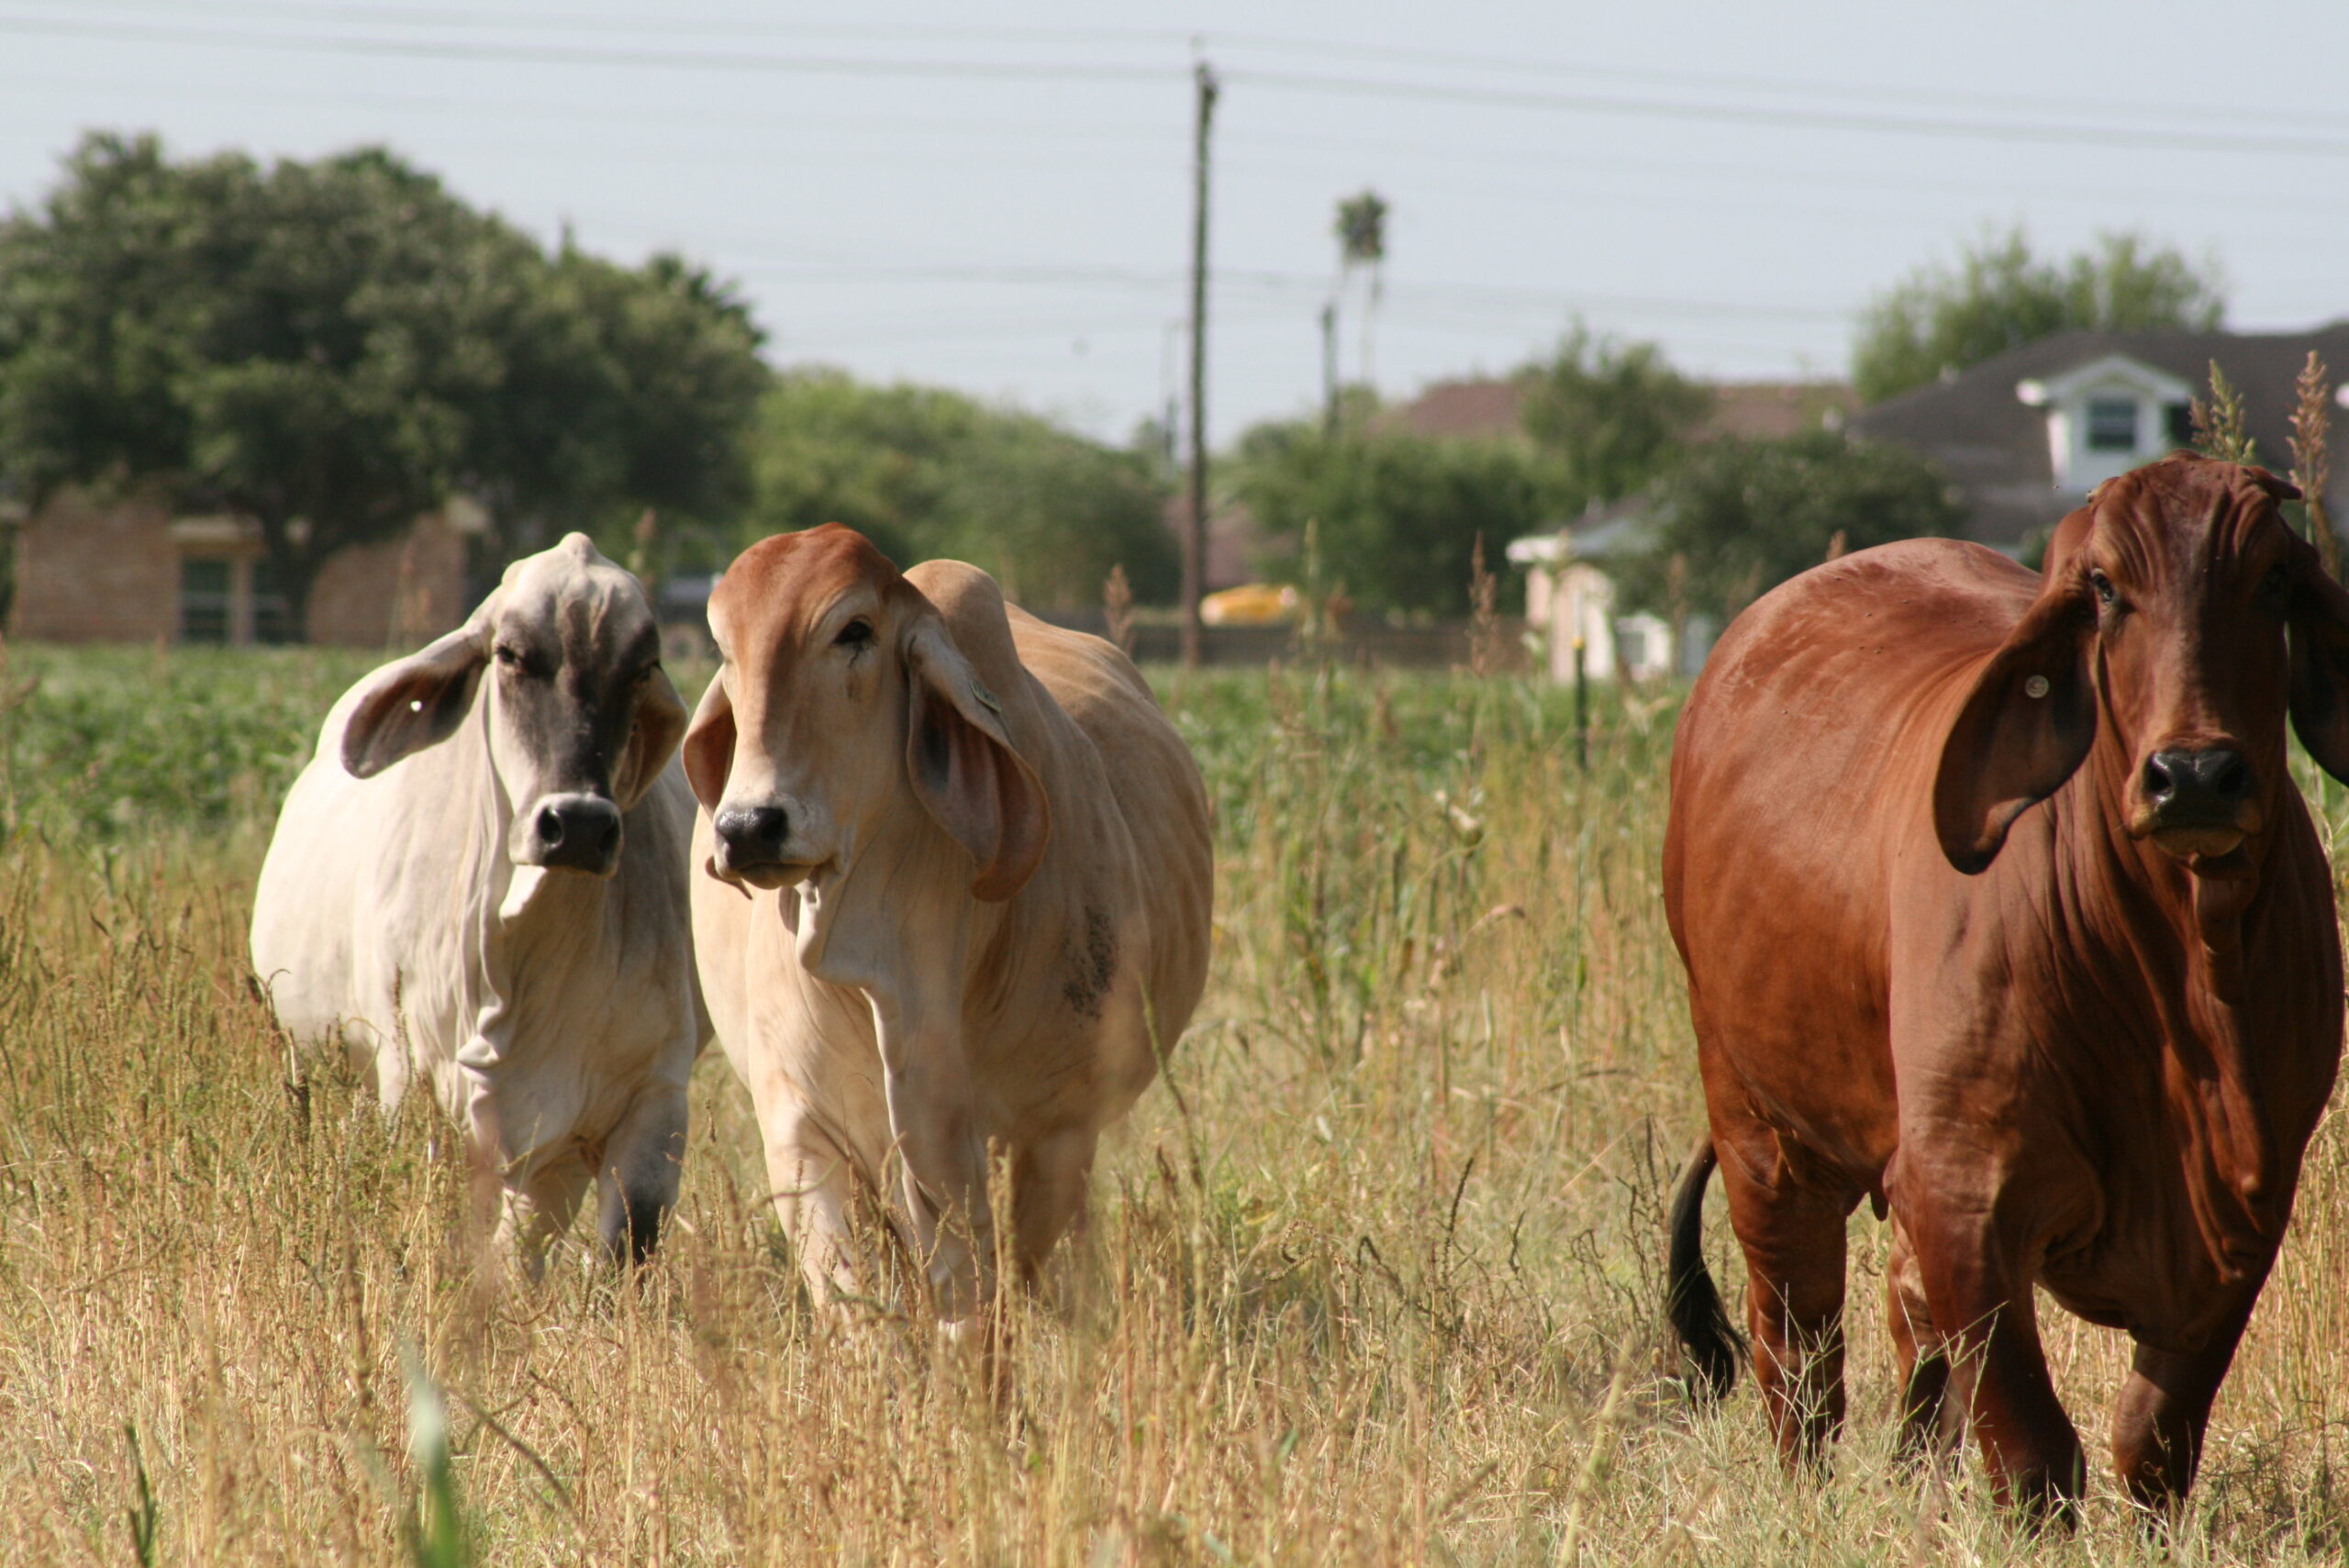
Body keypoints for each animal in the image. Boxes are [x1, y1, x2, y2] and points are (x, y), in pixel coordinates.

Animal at [251, 533, 704, 1273]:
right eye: (511, 655)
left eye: (642, 669)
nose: (579, 825)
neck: (522, 951)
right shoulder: (413, 1085)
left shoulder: (653, 1098)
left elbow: (620, 1242)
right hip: (309, 1057)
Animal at [683, 525, 1213, 1330]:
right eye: (725, 648)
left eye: (855, 630)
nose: (747, 825)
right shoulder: (802, 1129)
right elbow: (857, 1304)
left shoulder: (1051, 1135)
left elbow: (999, 1294)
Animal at [1661, 455, 2349, 1519]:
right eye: (2102, 586)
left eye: (2274, 576)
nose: (2194, 773)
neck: (2178, 988)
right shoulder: (1963, 1194)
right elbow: (2033, 1450)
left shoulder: (2251, 1202)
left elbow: (2152, 1436)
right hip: (1759, 1126)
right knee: (1798, 1342)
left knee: (1902, 1323)